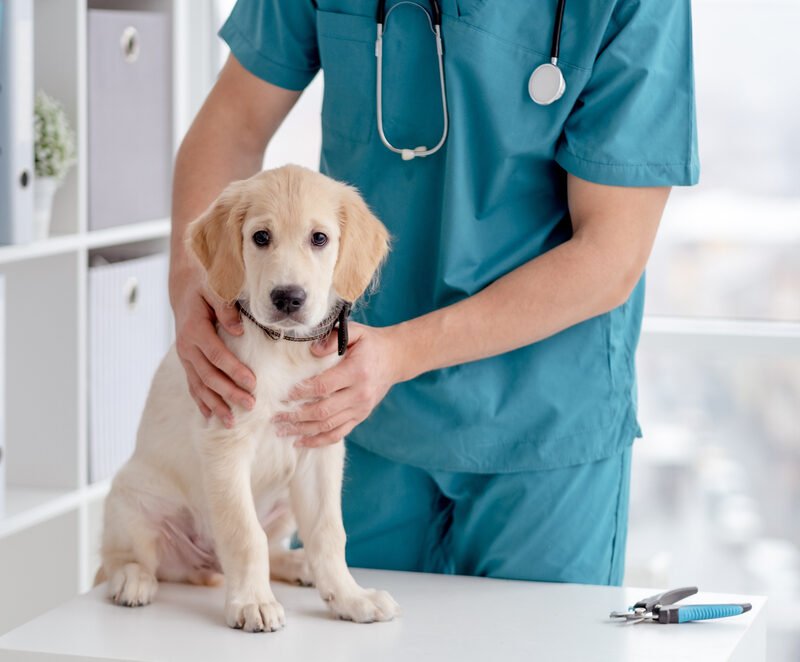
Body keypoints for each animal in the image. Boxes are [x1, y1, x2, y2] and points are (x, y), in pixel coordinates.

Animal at [100, 165, 396, 632]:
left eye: (319, 238)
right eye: (260, 237)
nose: (288, 297)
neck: (285, 349)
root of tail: (206, 567)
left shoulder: (320, 446)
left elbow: (329, 532)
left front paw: (350, 597)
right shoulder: (225, 440)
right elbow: (243, 534)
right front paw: (252, 603)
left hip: (287, 502)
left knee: (277, 547)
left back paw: (299, 566)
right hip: (131, 499)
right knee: (127, 557)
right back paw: (132, 580)